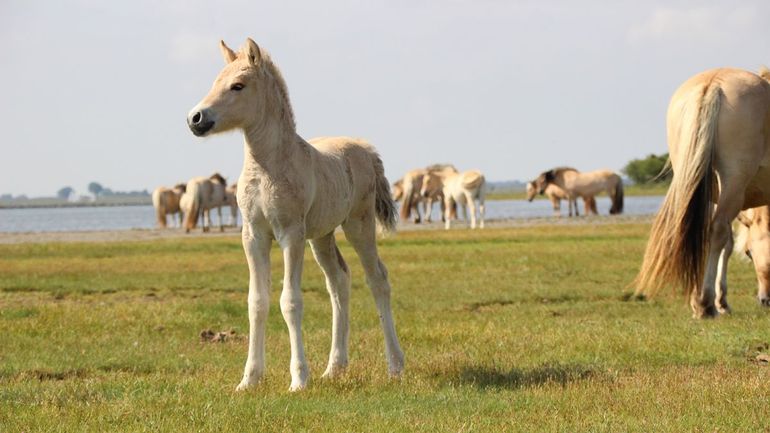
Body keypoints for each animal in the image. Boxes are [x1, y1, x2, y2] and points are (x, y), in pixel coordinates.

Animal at [187, 38, 404, 390]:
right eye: (215, 81)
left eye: (238, 85)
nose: (195, 118)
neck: (268, 167)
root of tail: (366, 149)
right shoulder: (253, 235)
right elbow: (257, 302)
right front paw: (249, 379)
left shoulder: (291, 234)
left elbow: (290, 301)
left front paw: (299, 379)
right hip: (323, 235)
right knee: (339, 281)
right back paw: (334, 367)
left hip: (358, 224)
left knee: (378, 279)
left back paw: (395, 365)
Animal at [632, 67, 768, 318]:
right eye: (749, 253)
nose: (765, 300)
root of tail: (713, 84)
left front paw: (722, 301)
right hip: (732, 182)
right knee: (716, 231)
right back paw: (705, 303)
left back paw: (699, 300)